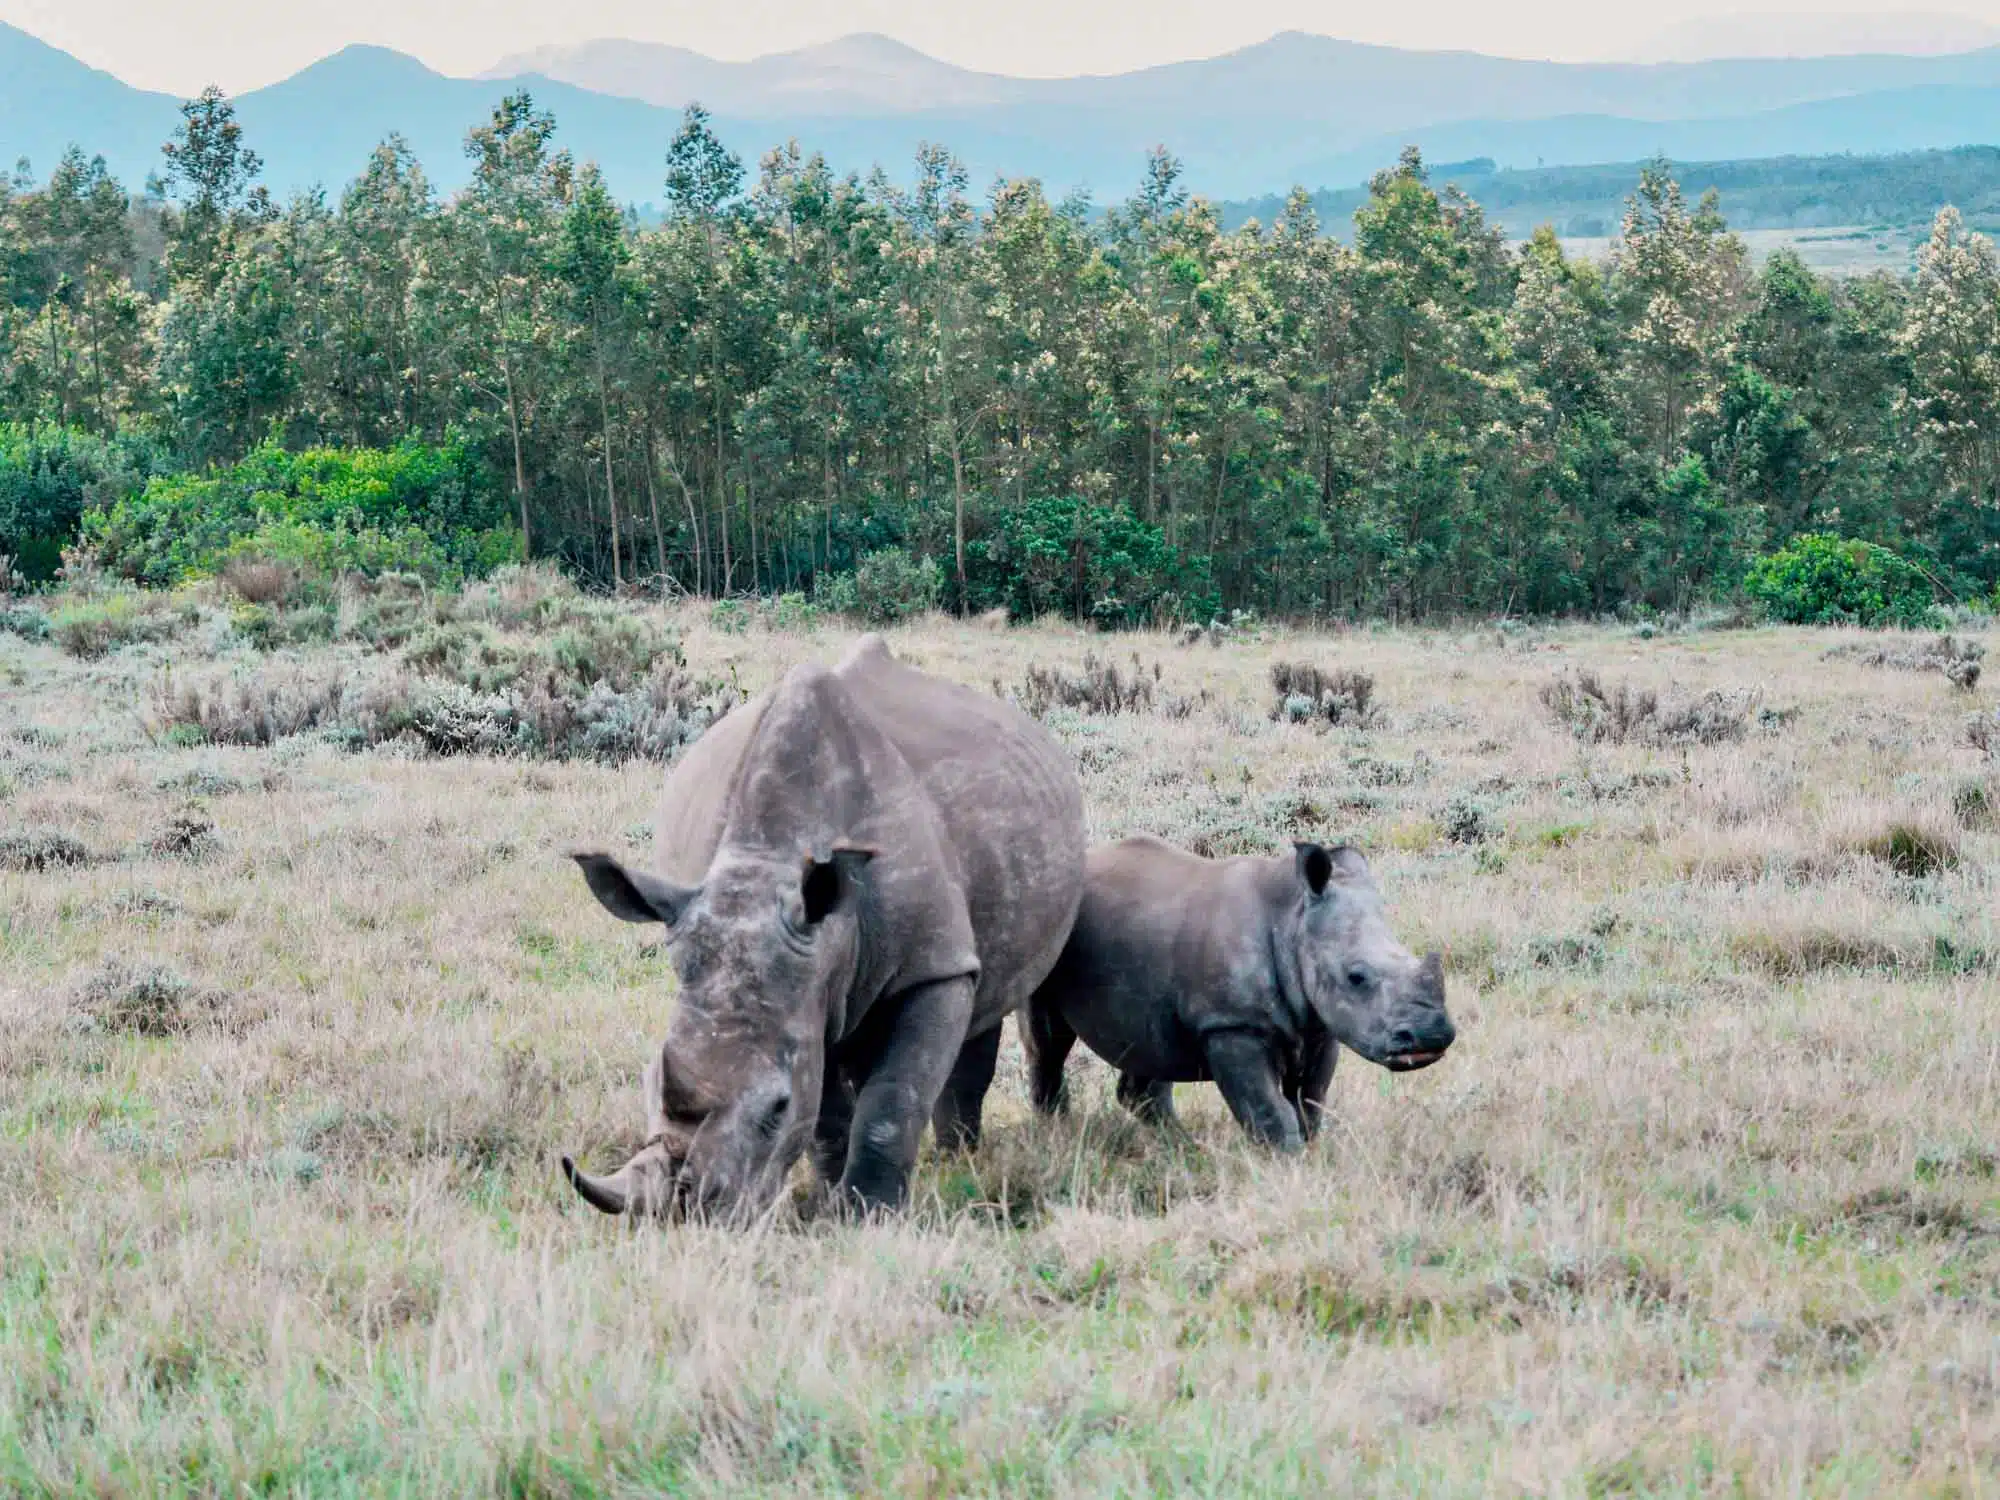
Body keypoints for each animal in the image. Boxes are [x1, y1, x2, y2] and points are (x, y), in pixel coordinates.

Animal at [563, 634, 1087, 1220]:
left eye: (776, 1107)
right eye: (649, 1081)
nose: (689, 1216)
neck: (766, 860)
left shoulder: (930, 967)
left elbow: (894, 1095)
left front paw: (870, 1214)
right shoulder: (809, 982)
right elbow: (827, 1104)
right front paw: (829, 1201)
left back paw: (966, 1159)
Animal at [1020, 837, 1454, 1151]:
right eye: (1356, 977)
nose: (1432, 1036)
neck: (1293, 918)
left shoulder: (1321, 1025)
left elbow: (1310, 1103)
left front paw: (1312, 1156)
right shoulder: (1232, 1026)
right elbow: (1269, 1112)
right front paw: (1286, 1165)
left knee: (1148, 1045)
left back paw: (1184, 1150)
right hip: (1049, 932)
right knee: (1048, 1042)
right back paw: (1056, 1133)